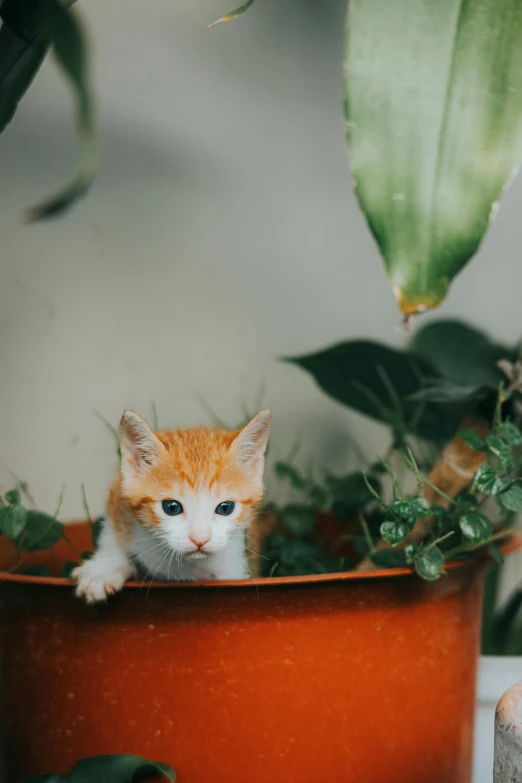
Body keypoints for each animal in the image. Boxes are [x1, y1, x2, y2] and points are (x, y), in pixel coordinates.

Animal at [72, 408, 270, 604]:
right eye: (172, 508)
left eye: (225, 508)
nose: (200, 539)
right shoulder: (117, 498)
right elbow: (111, 538)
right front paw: (102, 571)